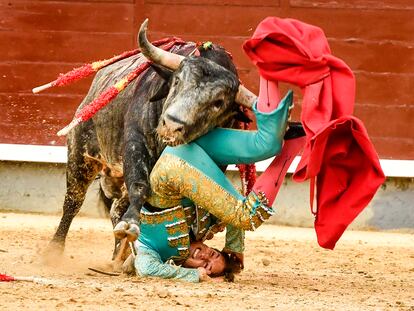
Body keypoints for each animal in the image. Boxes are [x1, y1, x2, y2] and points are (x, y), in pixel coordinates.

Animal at [47, 18, 258, 264]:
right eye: (177, 81)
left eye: (218, 102)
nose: (172, 124)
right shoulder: (136, 143)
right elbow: (140, 186)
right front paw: (131, 225)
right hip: (81, 154)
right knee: (74, 201)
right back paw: (54, 251)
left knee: (116, 207)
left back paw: (120, 255)